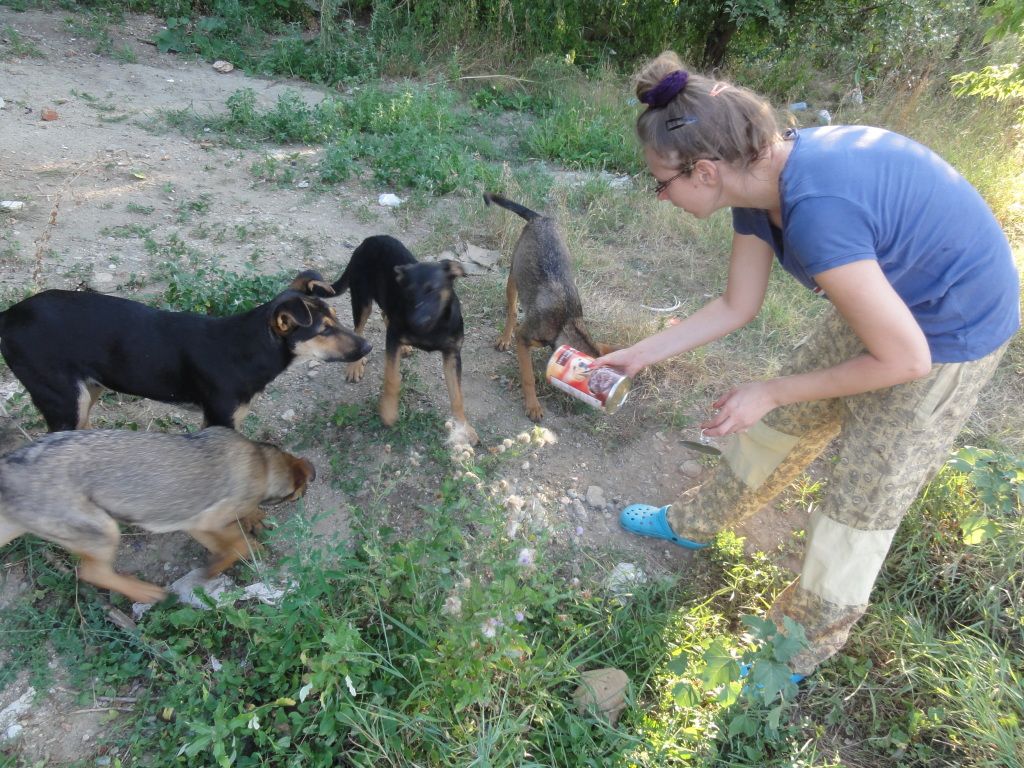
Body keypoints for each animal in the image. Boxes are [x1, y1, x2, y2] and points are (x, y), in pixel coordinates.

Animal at [0, 272, 368, 434]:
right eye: (324, 330)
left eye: (337, 319)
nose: (368, 347)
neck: (248, 348)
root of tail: (8, 316)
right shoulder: (220, 420)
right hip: (64, 400)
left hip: (88, 391)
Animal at [0, 430, 315, 606]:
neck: (262, 462)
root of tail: (10, 471)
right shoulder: (206, 522)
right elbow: (237, 544)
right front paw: (232, 557)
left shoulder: (198, 527)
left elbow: (229, 541)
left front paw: (253, 522)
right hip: (103, 529)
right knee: (92, 573)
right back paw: (144, 592)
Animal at [327, 234, 479, 444]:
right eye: (409, 292)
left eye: (433, 290)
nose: (415, 322)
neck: (434, 327)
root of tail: (369, 239)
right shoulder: (393, 337)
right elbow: (392, 378)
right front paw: (389, 411)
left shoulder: (453, 354)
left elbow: (457, 396)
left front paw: (464, 428)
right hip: (362, 300)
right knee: (359, 328)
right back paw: (355, 365)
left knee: (385, 314)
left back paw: (405, 348)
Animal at [483, 192, 610, 421]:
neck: (566, 322)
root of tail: (540, 218)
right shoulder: (523, 338)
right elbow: (528, 377)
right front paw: (533, 406)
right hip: (514, 277)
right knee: (512, 311)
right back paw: (505, 338)